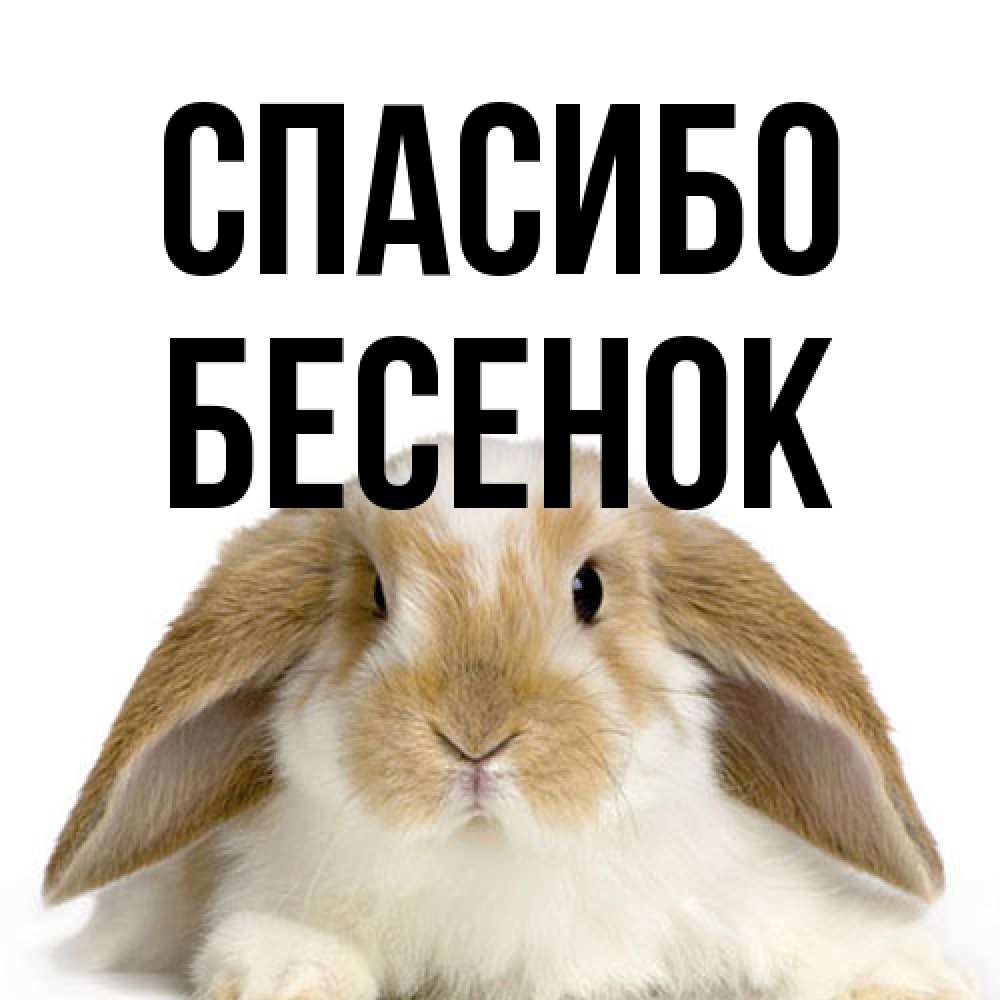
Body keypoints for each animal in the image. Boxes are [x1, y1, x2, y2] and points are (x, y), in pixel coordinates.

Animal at [45, 436, 975, 1000]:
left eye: (589, 589)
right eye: (376, 596)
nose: (475, 737)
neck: (495, 857)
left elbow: (816, 939)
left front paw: (909, 977)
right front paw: (290, 976)